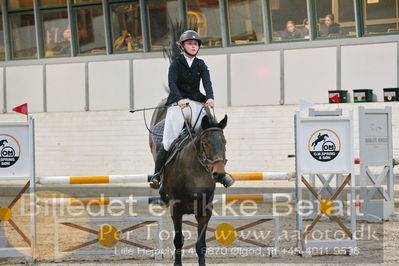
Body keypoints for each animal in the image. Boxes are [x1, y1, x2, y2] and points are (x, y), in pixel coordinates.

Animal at [149, 98, 228, 264]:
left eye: (224, 142)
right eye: (205, 143)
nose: (219, 174)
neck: (194, 174)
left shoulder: (205, 210)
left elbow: (201, 245)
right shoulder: (176, 209)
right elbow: (178, 240)